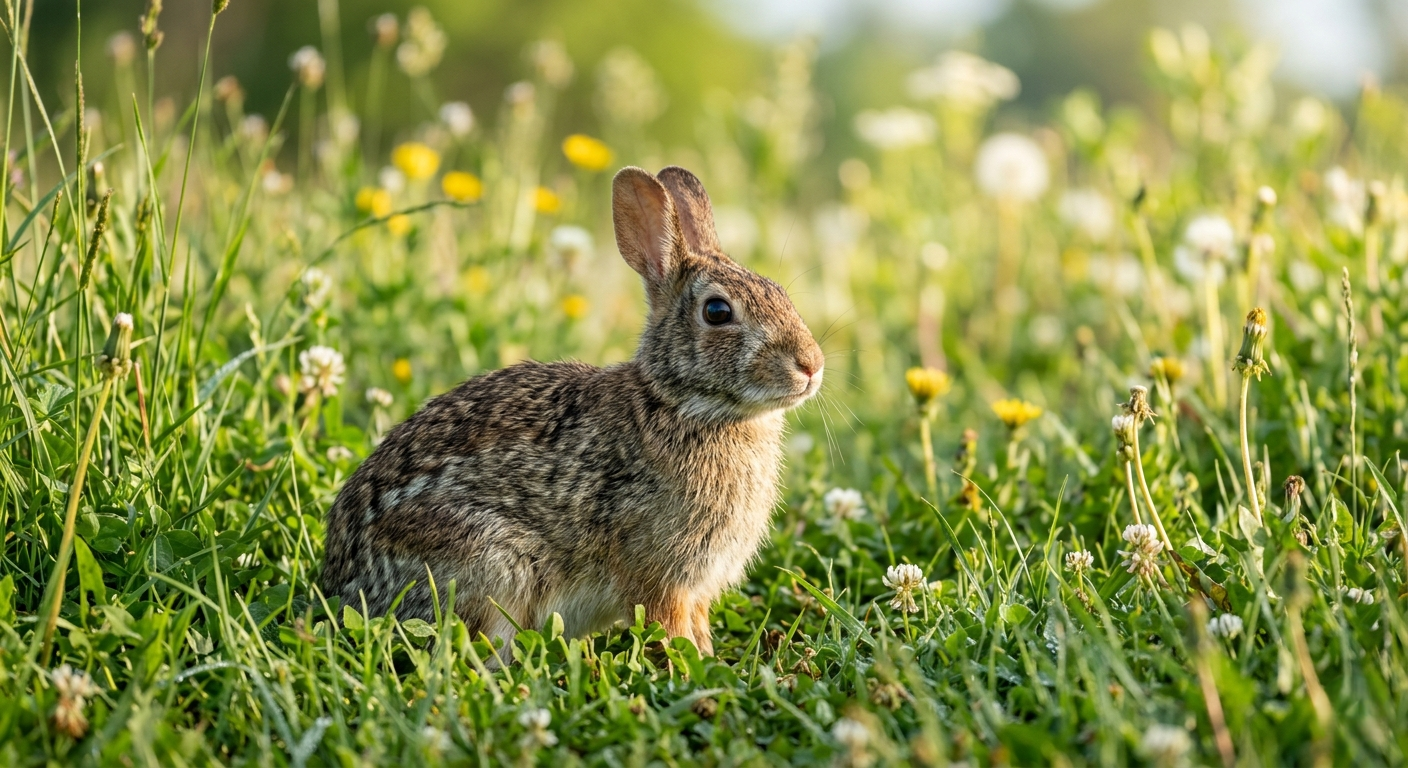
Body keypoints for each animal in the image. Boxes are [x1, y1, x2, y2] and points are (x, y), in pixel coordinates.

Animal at [322, 166, 824, 656]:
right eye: (718, 311)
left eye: (780, 291)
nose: (811, 365)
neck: (680, 401)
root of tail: (340, 586)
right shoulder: (660, 579)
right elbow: (669, 630)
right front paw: (687, 666)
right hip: (490, 564)